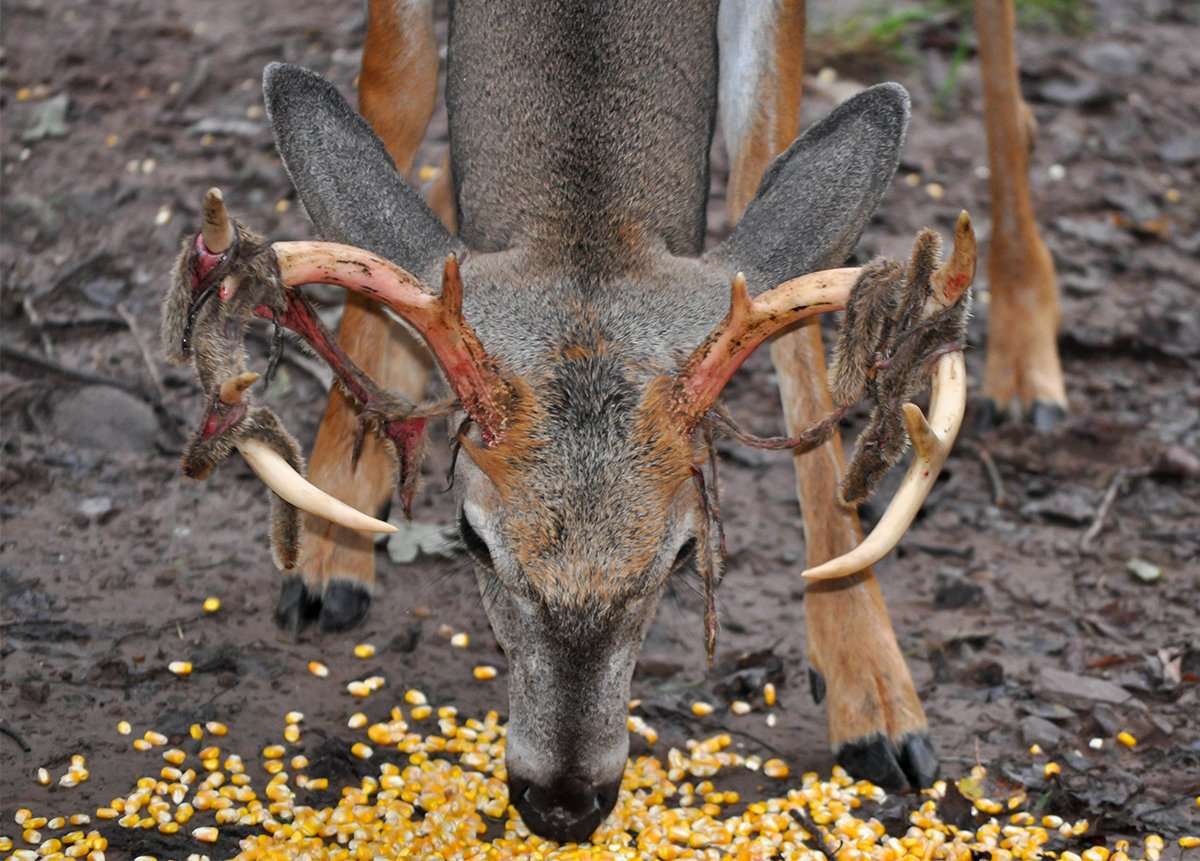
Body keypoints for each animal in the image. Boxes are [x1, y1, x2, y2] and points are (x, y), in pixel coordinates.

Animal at [157, 0, 1060, 844]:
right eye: (473, 536)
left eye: (687, 551)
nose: (562, 802)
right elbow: (396, 98)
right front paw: (328, 535)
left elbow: (767, 197)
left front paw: (871, 694)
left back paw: (1029, 355)